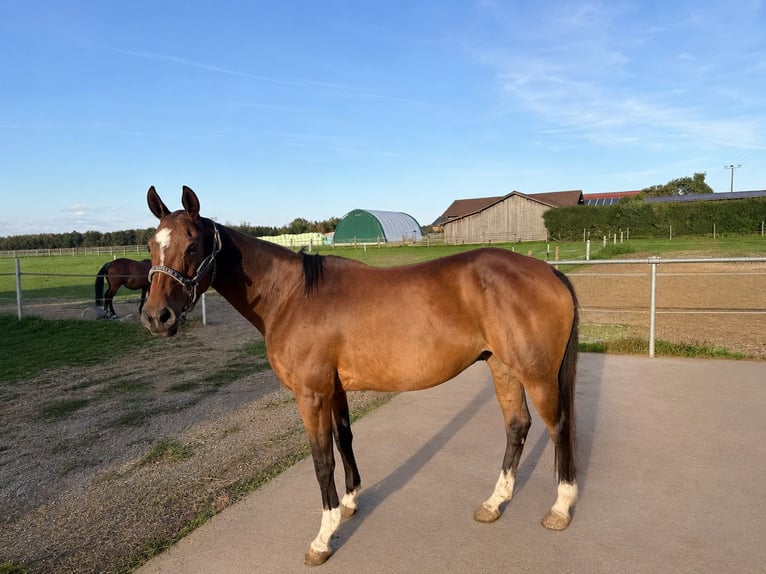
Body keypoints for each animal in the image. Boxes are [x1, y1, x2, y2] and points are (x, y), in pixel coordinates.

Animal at [141, 186, 579, 566]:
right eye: (151, 246)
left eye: (192, 245)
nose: (156, 317)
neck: (291, 295)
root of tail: (549, 272)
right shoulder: (334, 390)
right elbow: (344, 440)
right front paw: (350, 503)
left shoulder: (311, 394)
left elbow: (321, 460)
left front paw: (323, 537)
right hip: (502, 367)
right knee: (517, 425)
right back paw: (494, 503)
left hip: (536, 375)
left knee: (558, 426)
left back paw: (560, 507)